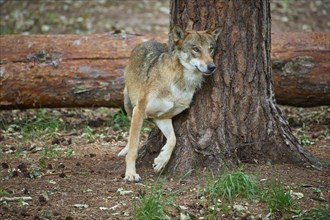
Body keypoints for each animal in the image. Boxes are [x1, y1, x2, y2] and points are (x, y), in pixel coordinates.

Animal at [117, 24, 220, 181]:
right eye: (196, 49)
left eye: (211, 48)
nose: (212, 67)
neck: (180, 84)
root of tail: (146, 41)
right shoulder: (140, 111)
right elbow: (134, 147)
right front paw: (130, 173)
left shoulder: (163, 118)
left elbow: (173, 140)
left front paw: (160, 161)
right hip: (129, 106)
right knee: (131, 133)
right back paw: (124, 150)